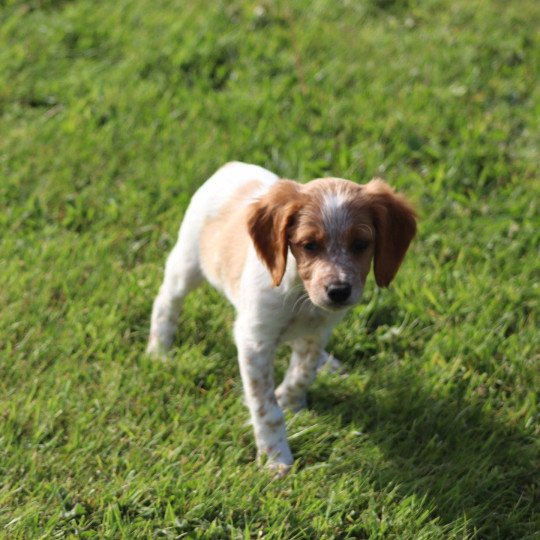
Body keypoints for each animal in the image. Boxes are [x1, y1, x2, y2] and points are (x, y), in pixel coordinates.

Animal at [148, 162, 418, 474]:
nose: (338, 291)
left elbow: (303, 372)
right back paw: (158, 349)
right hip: (187, 264)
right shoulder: (255, 341)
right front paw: (276, 458)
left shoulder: (316, 333)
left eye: (361, 244)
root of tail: (232, 166)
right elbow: (267, 408)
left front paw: (290, 402)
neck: (299, 294)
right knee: (166, 301)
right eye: (309, 245)